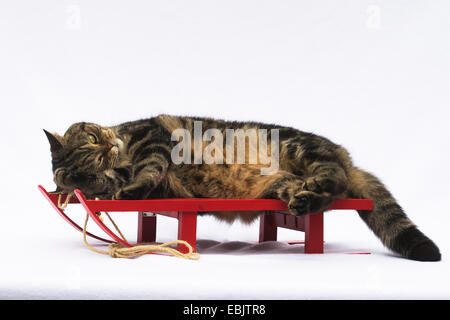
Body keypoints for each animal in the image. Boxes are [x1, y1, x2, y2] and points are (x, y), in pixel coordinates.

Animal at [44, 114, 442, 262]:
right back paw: (305, 198)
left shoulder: (153, 139)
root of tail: (346, 157)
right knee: (321, 193)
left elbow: (149, 168)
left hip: (298, 146)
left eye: (93, 136)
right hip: (283, 184)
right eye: (92, 157)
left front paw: (129, 188)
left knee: (334, 175)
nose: (108, 146)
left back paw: (318, 182)